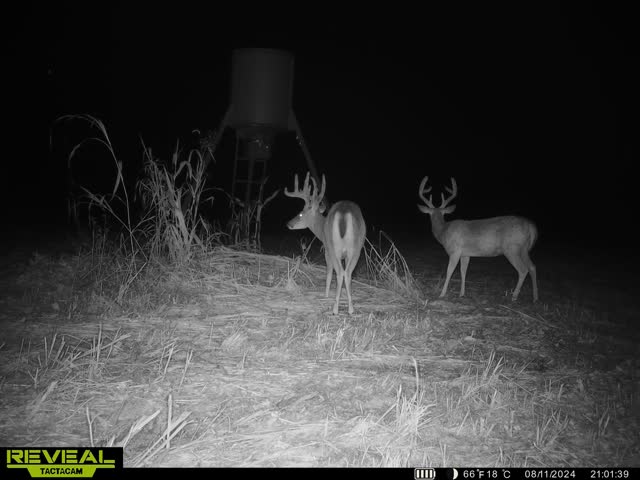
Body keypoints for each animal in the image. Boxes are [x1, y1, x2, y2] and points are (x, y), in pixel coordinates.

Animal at [284, 172, 367, 315]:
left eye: (300, 214)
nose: (289, 224)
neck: (321, 229)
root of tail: (344, 212)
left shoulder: (327, 250)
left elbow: (328, 272)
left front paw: (326, 295)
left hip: (333, 247)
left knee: (339, 272)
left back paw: (335, 309)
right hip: (356, 248)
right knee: (347, 273)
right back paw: (351, 309)